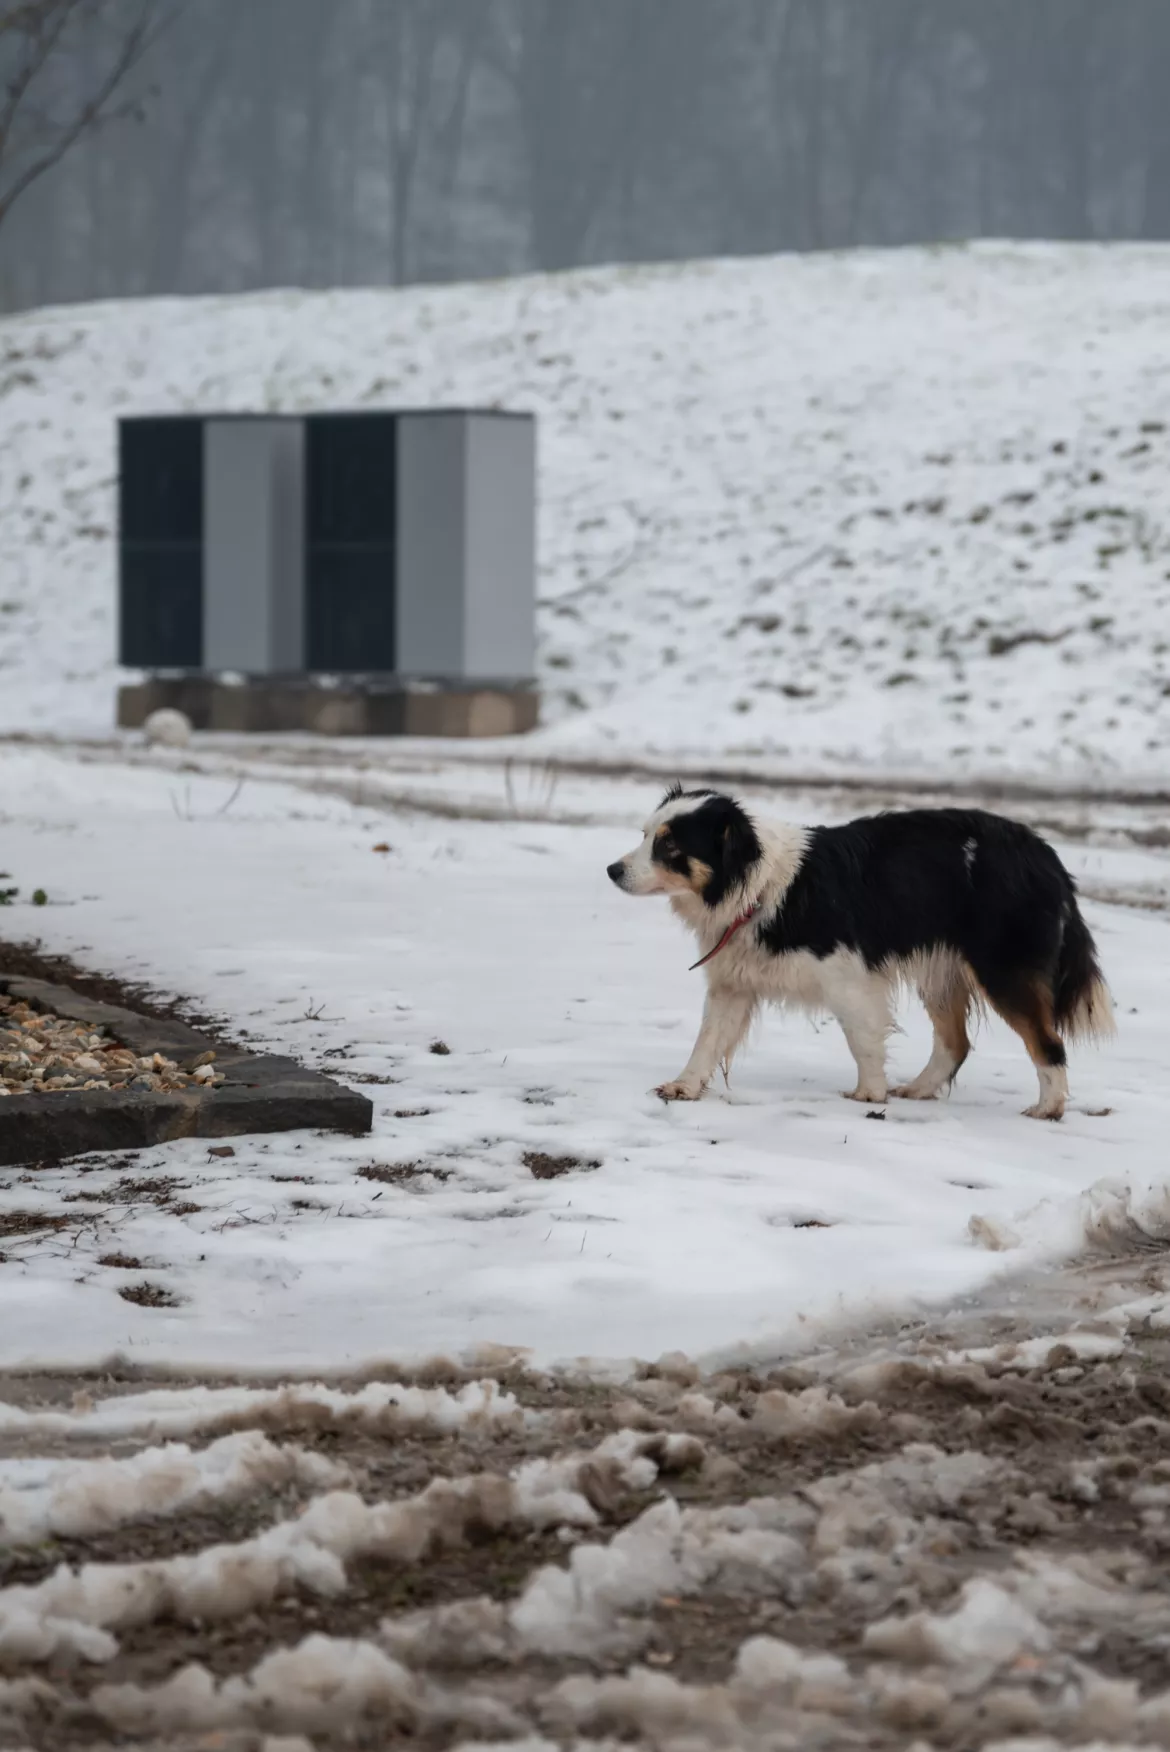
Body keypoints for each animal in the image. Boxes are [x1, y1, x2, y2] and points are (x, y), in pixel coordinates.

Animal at [609, 784, 1113, 1121]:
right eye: (645, 835)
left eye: (669, 844)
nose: (612, 870)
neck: (760, 885)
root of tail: (1046, 855)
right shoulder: (732, 984)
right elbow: (707, 1041)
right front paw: (684, 1086)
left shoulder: (850, 979)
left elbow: (863, 1039)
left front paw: (869, 1096)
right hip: (943, 970)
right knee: (955, 1042)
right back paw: (919, 1089)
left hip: (1003, 969)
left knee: (1047, 1044)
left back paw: (1048, 1108)